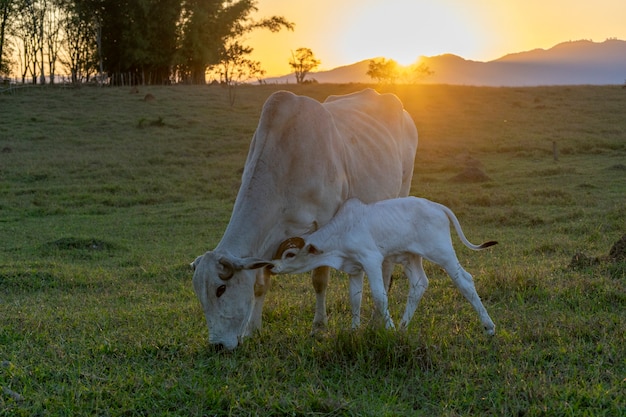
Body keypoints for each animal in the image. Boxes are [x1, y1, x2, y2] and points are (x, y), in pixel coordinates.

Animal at [188, 89, 416, 350]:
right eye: (199, 295)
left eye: (221, 289)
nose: (217, 345)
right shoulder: (268, 240)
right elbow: (260, 285)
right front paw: (252, 330)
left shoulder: (324, 226)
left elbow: (319, 280)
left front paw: (318, 328)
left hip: (401, 190)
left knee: (387, 264)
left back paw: (377, 320)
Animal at [270, 197, 494, 334]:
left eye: (290, 254)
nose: (271, 267)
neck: (342, 231)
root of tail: (438, 206)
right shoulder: (355, 268)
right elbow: (355, 298)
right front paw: (354, 330)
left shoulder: (371, 259)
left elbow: (379, 296)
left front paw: (390, 328)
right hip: (411, 257)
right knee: (419, 284)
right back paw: (404, 327)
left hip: (442, 253)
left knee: (465, 280)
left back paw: (489, 326)